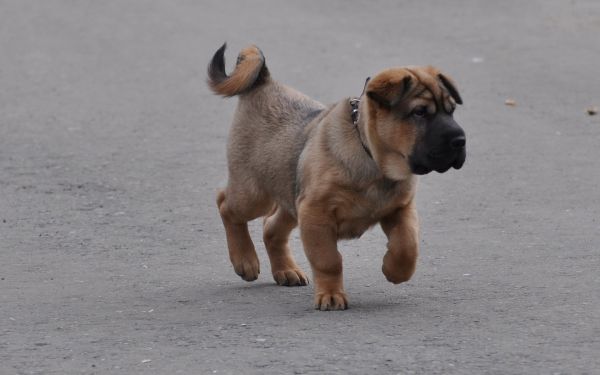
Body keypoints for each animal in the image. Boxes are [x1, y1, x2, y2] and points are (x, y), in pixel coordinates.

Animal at [209, 43, 466, 312]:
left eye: (451, 111)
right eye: (419, 113)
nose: (460, 140)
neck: (373, 160)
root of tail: (264, 81)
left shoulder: (400, 209)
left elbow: (407, 245)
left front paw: (394, 270)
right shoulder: (316, 213)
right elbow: (328, 260)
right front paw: (331, 295)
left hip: (291, 199)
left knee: (271, 228)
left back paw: (286, 270)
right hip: (254, 195)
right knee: (225, 205)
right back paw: (245, 260)